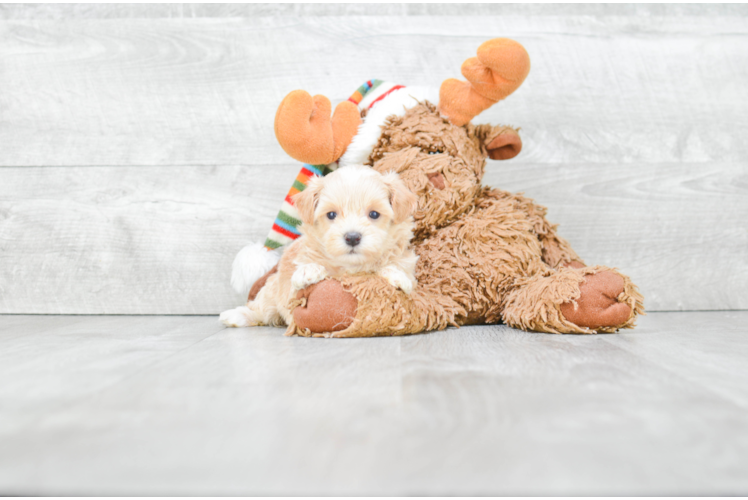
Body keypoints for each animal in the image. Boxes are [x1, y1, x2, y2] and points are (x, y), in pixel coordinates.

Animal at [221, 164, 420, 328]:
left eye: (374, 214)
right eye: (331, 214)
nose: (352, 237)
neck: (350, 267)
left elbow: (400, 269)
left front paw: (397, 275)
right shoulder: (290, 292)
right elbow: (295, 288)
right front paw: (308, 271)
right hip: (271, 291)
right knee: (261, 308)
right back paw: (235, 316)